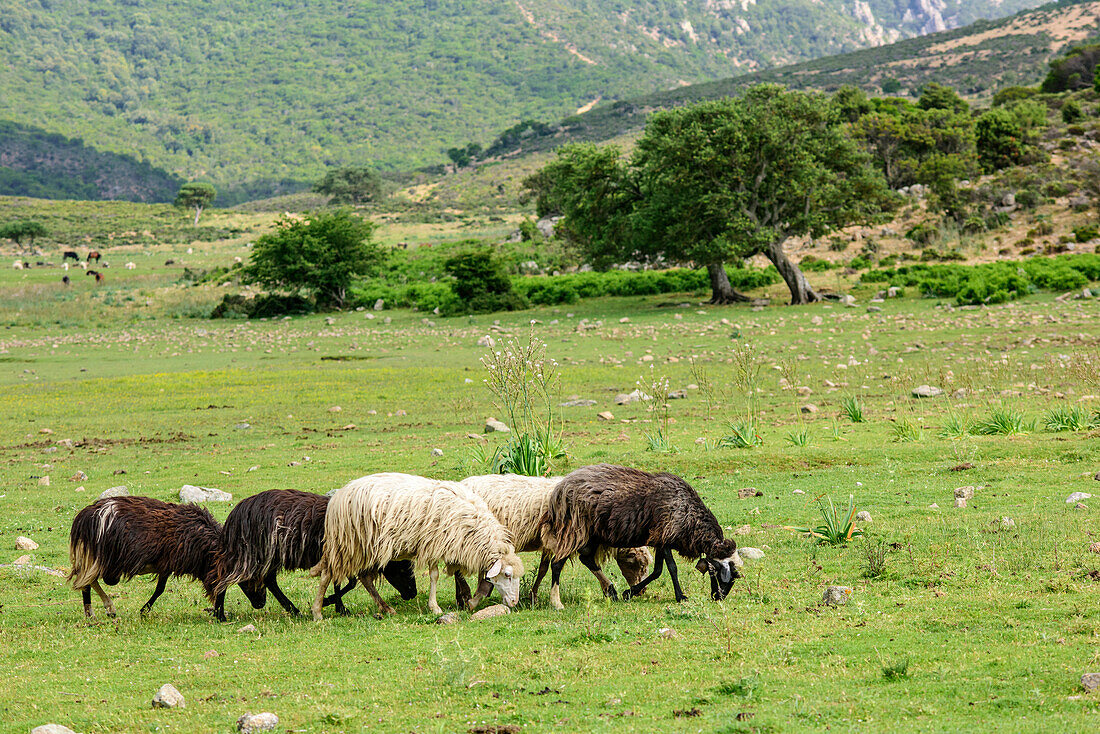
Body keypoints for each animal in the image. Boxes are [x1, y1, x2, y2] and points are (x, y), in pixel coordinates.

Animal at [70, 497, 264, 625]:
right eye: (254, 579)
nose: (261, 603)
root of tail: (86, 516)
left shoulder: (170, 565)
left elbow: (160, 589)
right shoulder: (176, 563)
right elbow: (218, 587)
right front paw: (220, 615)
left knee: (87, 580)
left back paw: (98, 611)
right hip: (108, 562)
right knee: (86, 580)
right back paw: (99, 611)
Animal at [214, 488, 415, 620]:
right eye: (402, 568)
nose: (412, 594)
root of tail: (234, 515)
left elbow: (342, 582)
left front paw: (338, 607)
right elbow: (347, 582)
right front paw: (329, 603)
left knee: (269, 581)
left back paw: (292, 609)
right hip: (253, 553)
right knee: (225, 577)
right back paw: (220, 614)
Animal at [310, 477, 523, 620]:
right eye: (507, 575)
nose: (514, 603)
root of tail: (338, 497)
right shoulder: (433, 545)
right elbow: (434, 576)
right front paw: (435, 607)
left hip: (366, 548)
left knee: (365, 578)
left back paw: (386, 608)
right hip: (348, 543)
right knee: (327, 575)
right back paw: (317, 612)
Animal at [457, 477, 651, 607]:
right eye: (640, 564)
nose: (642, 592)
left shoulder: (553, 543)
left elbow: (543, 569)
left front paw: (533, 596)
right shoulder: (568, 539)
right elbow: (573, 564)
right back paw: (465, 596)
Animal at [539, 464, 743, 607]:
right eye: (719, 571)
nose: (719, 597)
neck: (689, 513)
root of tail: (561, 488)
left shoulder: (660, 539)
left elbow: (658, 570)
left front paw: (629, 593)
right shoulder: (665, 534)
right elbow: (672, 568)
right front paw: (680, 596)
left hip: (593, 534)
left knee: (587, 559)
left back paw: (611, 591)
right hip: (574, 529)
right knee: (557, 563)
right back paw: (556, 602)